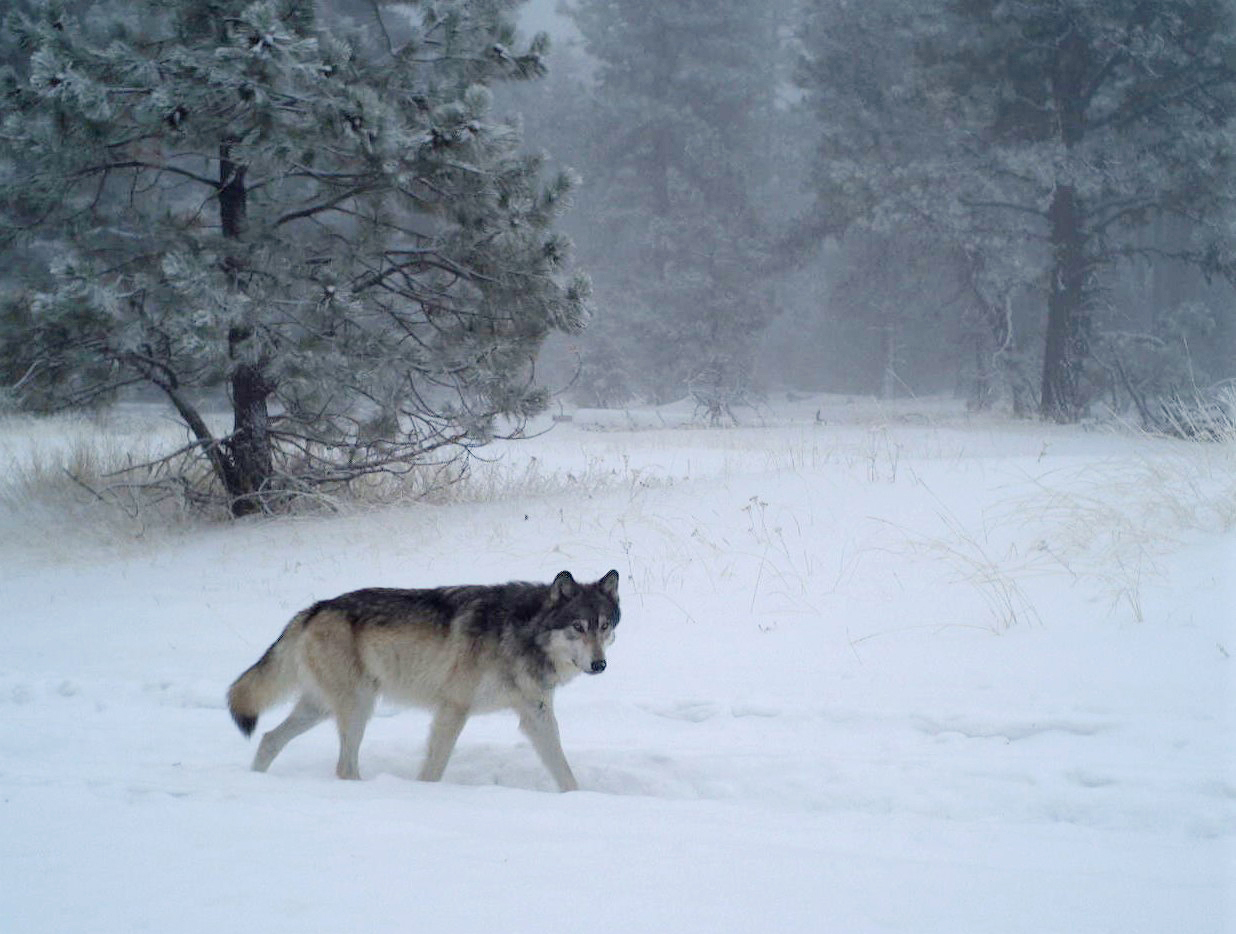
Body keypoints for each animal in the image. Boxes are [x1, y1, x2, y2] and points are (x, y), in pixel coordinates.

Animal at [226, 565, 618, 790]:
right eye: (578, 627)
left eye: (604, 626)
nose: (599, 665)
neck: (521, 632)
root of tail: (313, 609)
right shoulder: (453, 709)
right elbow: (434, 768)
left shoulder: (536, 715)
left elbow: (564, 770)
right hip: (358, 708)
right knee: (343, 766)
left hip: (321, 709)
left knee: (269, 739)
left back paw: (254, 779)